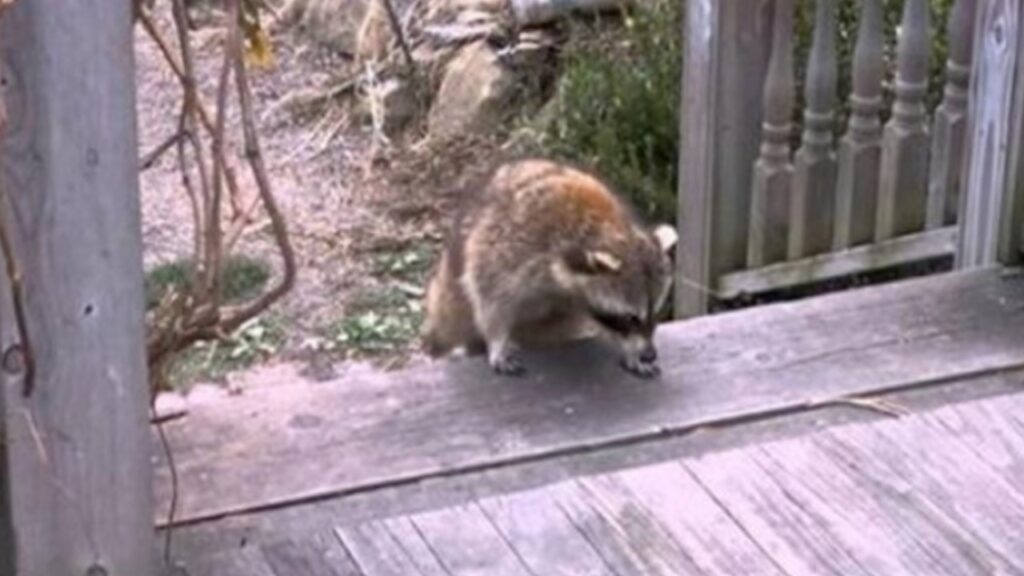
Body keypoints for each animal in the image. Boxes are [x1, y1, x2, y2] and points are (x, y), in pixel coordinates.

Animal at [419, 158, 675, 379]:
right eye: (631, 318)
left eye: (656, 312)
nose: (650, 354)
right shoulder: (508, 247)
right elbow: (491, 299)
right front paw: (497, 341)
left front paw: (630, 351)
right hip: (449, 293)